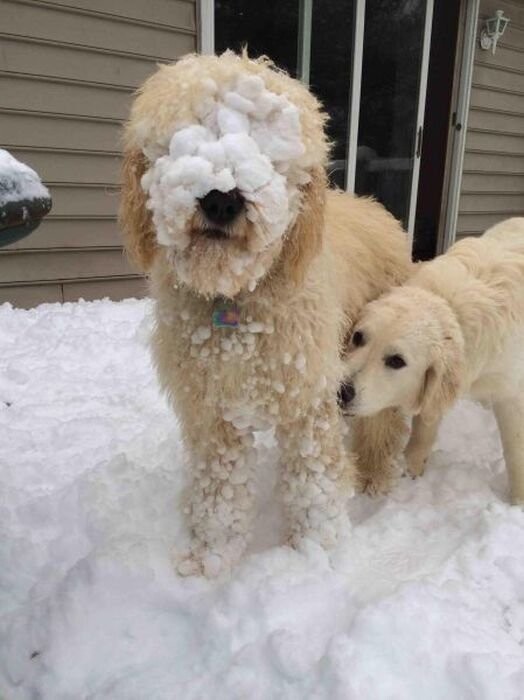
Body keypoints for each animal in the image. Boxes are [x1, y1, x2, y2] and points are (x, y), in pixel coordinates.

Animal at [121, 52, 412, 576]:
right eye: (185, 133)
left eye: (269, 145)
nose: (221, 197)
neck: (237, 300)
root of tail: (375, 206)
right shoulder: (212, 411)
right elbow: (218, 489)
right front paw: (210, 558)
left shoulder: (308, 397)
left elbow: (314, 481)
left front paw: (316, 552)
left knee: (383, 420)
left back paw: (377, 476)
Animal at [340, 219, 524, 504]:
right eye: (358, 337)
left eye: (396, 361)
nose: (341, 391)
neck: (453, 307)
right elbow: (424, 427)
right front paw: (413, 468)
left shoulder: (511, 396)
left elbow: (516, 454)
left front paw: (517, 502)